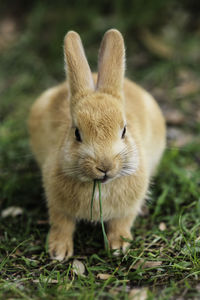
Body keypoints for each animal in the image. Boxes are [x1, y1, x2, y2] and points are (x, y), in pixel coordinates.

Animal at [28, 29, 166, 262]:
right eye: (77, 133)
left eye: (124, 130)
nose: (105, 166)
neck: (99, 186)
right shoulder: (57, 203)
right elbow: (62, 223)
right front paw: (59, 251)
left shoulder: (127, 208)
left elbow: (121, 223)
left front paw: (119, 246)